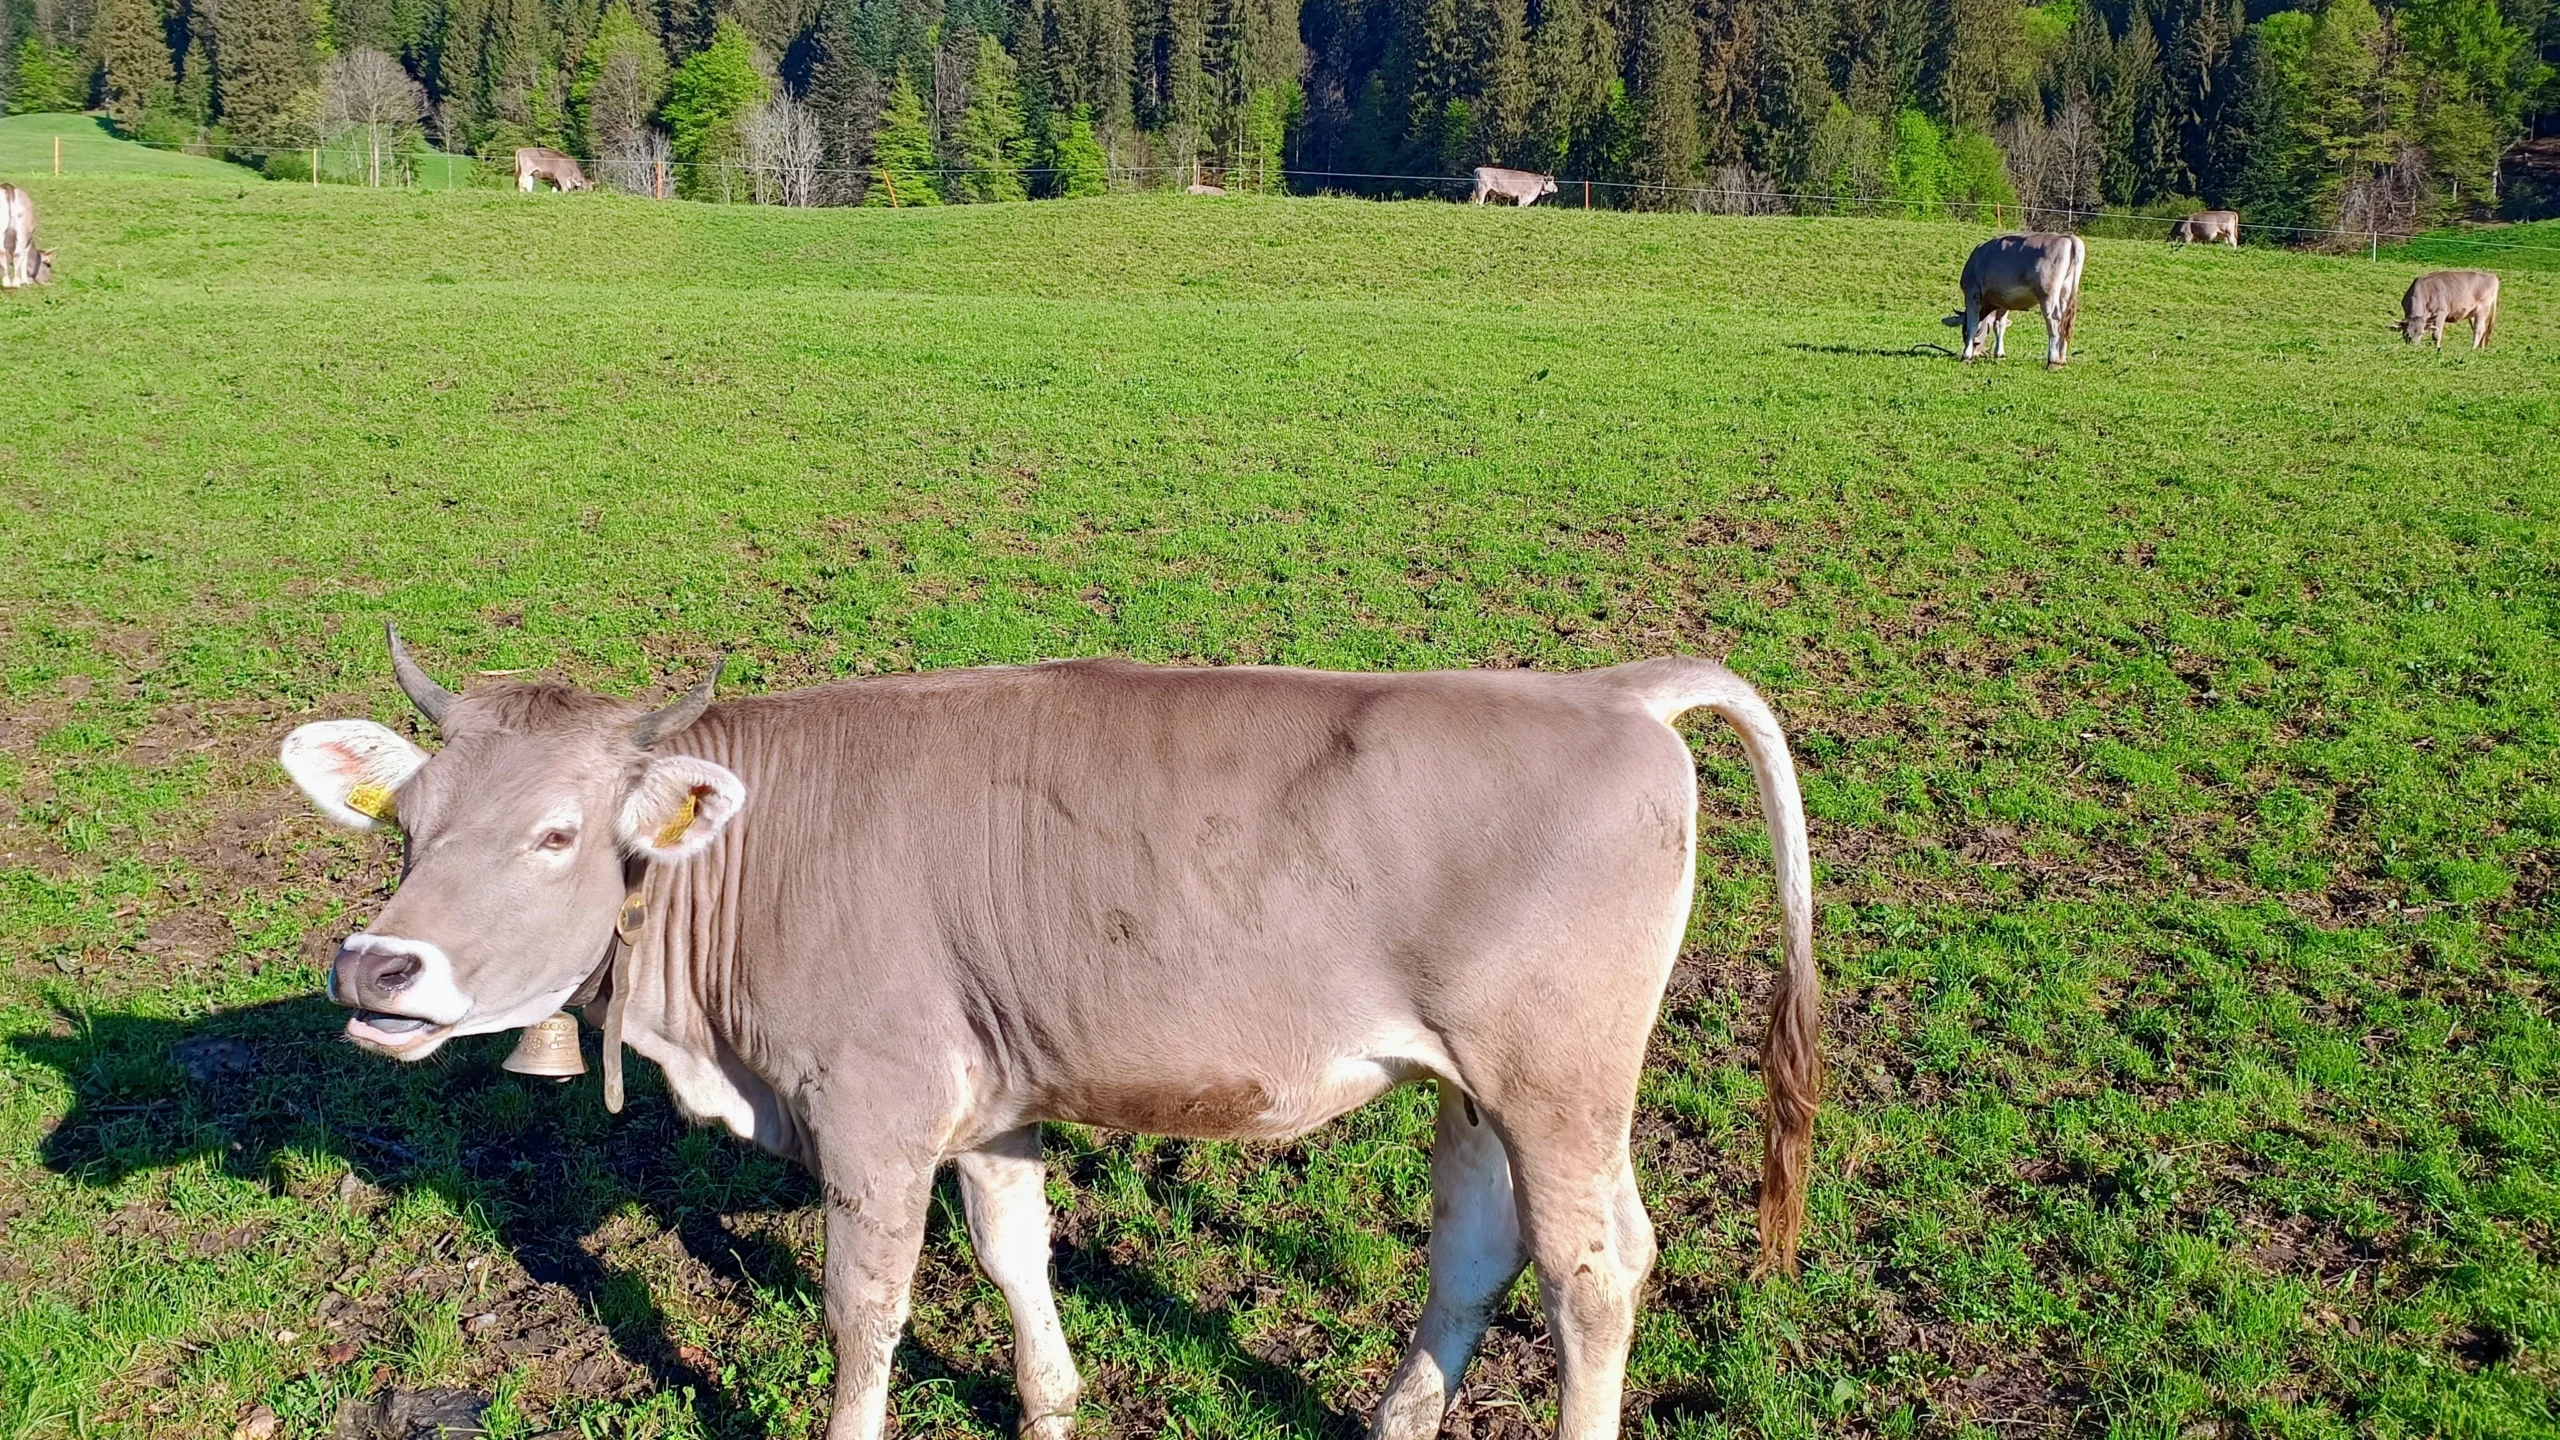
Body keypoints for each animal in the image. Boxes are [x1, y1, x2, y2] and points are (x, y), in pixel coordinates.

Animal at [283, 627, 1819, 1440]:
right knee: (1477, 1249)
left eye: (557, 835)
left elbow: (864, 1305)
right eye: (408, 826)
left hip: (1561, 1083)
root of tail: (1609, 689)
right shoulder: (990, 1089)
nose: (376, 963)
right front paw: (1050, 1401)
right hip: (1472, 1086)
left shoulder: (874, 1104)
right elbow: (1016, 1247)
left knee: (1593, 1266)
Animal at [1942, 231, 2086, 367]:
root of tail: (2068, 237)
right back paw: (2062, 359)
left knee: (2054, 319)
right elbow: (1999, 326)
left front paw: (1966, 355)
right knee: (2066, 322)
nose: (1976, 352)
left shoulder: (1972, 293)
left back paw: (2053, 361)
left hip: (2047, 293)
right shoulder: (2003, 300)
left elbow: (1973, 323)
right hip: (2066, 291)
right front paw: (1999, 355)